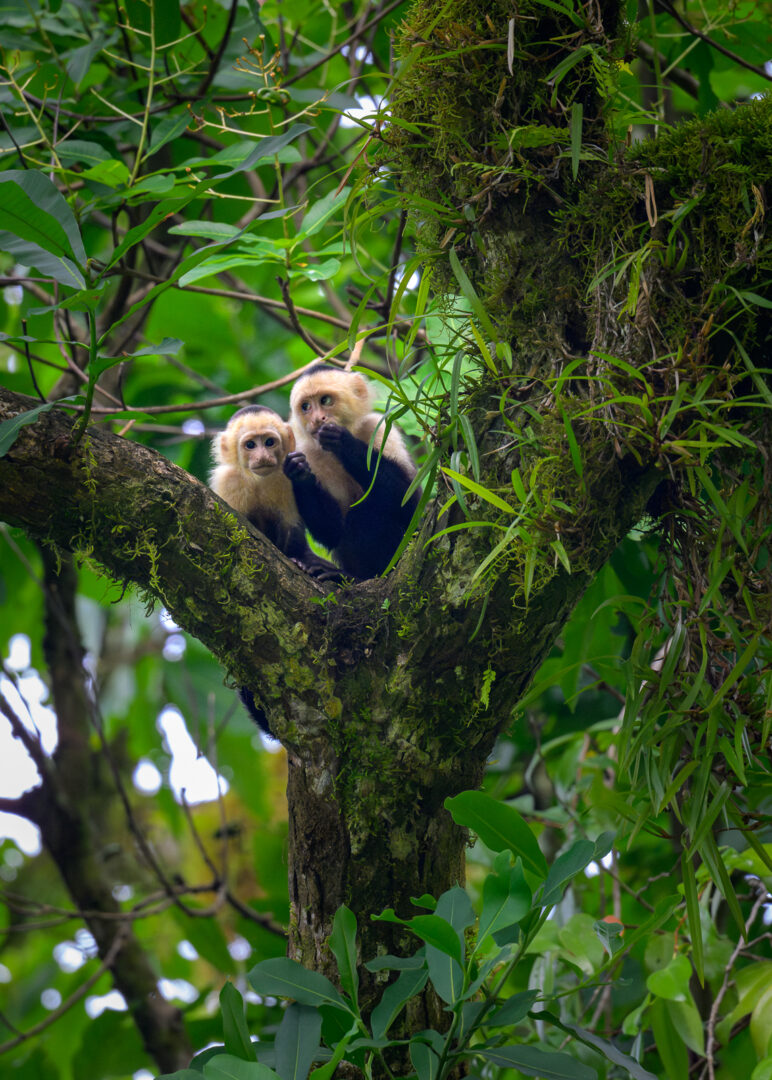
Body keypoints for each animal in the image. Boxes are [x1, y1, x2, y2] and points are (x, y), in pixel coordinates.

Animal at [285, 365, 420, 580]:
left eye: (325, 400)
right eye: (305, 406)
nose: (317, 420)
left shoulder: (378, 428)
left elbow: (411, 504)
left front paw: (342, 441)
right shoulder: (308, 451)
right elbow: (333, 531)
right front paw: (299, 473)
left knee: (366, 512)